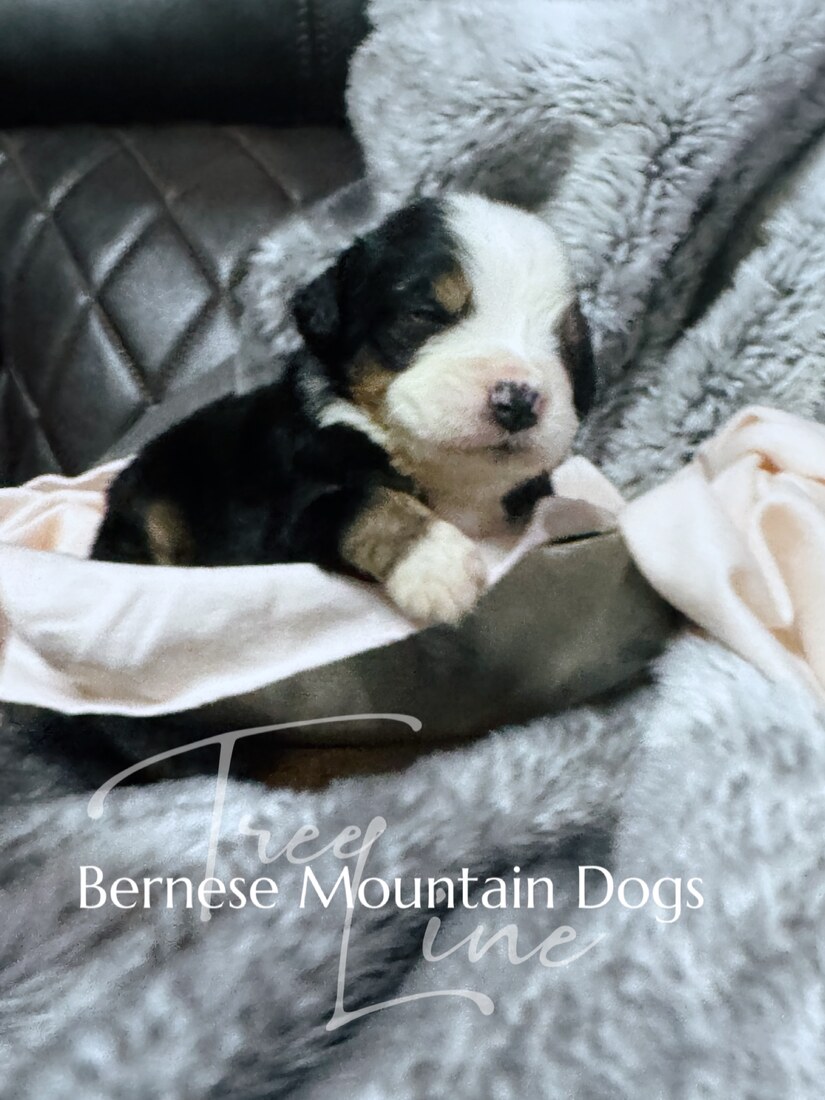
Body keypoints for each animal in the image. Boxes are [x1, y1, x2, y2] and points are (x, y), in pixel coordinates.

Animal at [92, 193, 595, 625]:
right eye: (425, 315)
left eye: (566, 343)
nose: (518, 401)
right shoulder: (288, 519)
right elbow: (365, 503)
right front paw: (436, 563)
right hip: (150, 506)